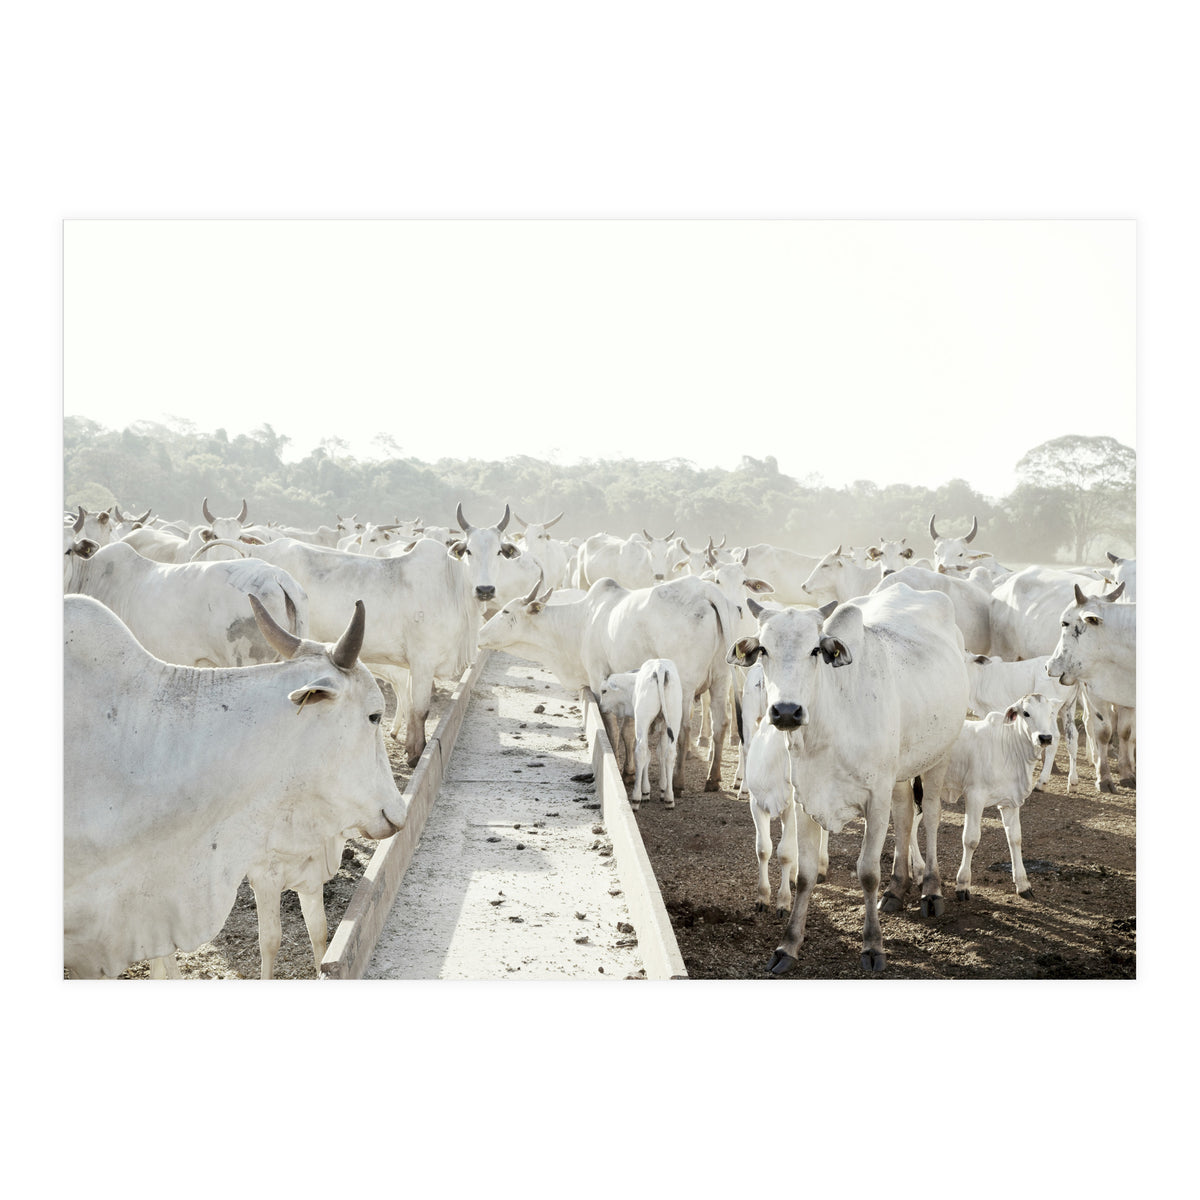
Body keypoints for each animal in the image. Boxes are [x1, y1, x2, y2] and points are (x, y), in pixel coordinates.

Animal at [598, 658, 685, 808]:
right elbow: (660, 753)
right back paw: (669, 798)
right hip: (674, 720)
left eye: (604, 691)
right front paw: (662, 789)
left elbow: (647, 755)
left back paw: (636, 798)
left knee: (641, 752)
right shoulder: (664, 728)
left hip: (642, 722)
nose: (600, 706)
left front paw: (645, 792)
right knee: (670, 754)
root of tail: (660, 668)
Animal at [728, 584, 968, 973]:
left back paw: (931, 890)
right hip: (898, 772)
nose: (786, 712)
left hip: (938, 754)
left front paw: (872, 946)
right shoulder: (805, 800)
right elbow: (805, 873)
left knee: (930, 815)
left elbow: (867, 872)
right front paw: (788, 945)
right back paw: (896, 888)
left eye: (815, 649)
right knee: (904, 816)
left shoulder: (875, 797)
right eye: (763, 649)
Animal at [939, 693, 1062, 902]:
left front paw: (1023, 883)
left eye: (1051, 712)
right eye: (1026, 713)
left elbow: (1015, 839)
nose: (1045, 737)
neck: (1008, 749)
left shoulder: (1010, 802)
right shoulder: (974, 795)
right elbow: (970, 839)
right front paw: (962, 884)